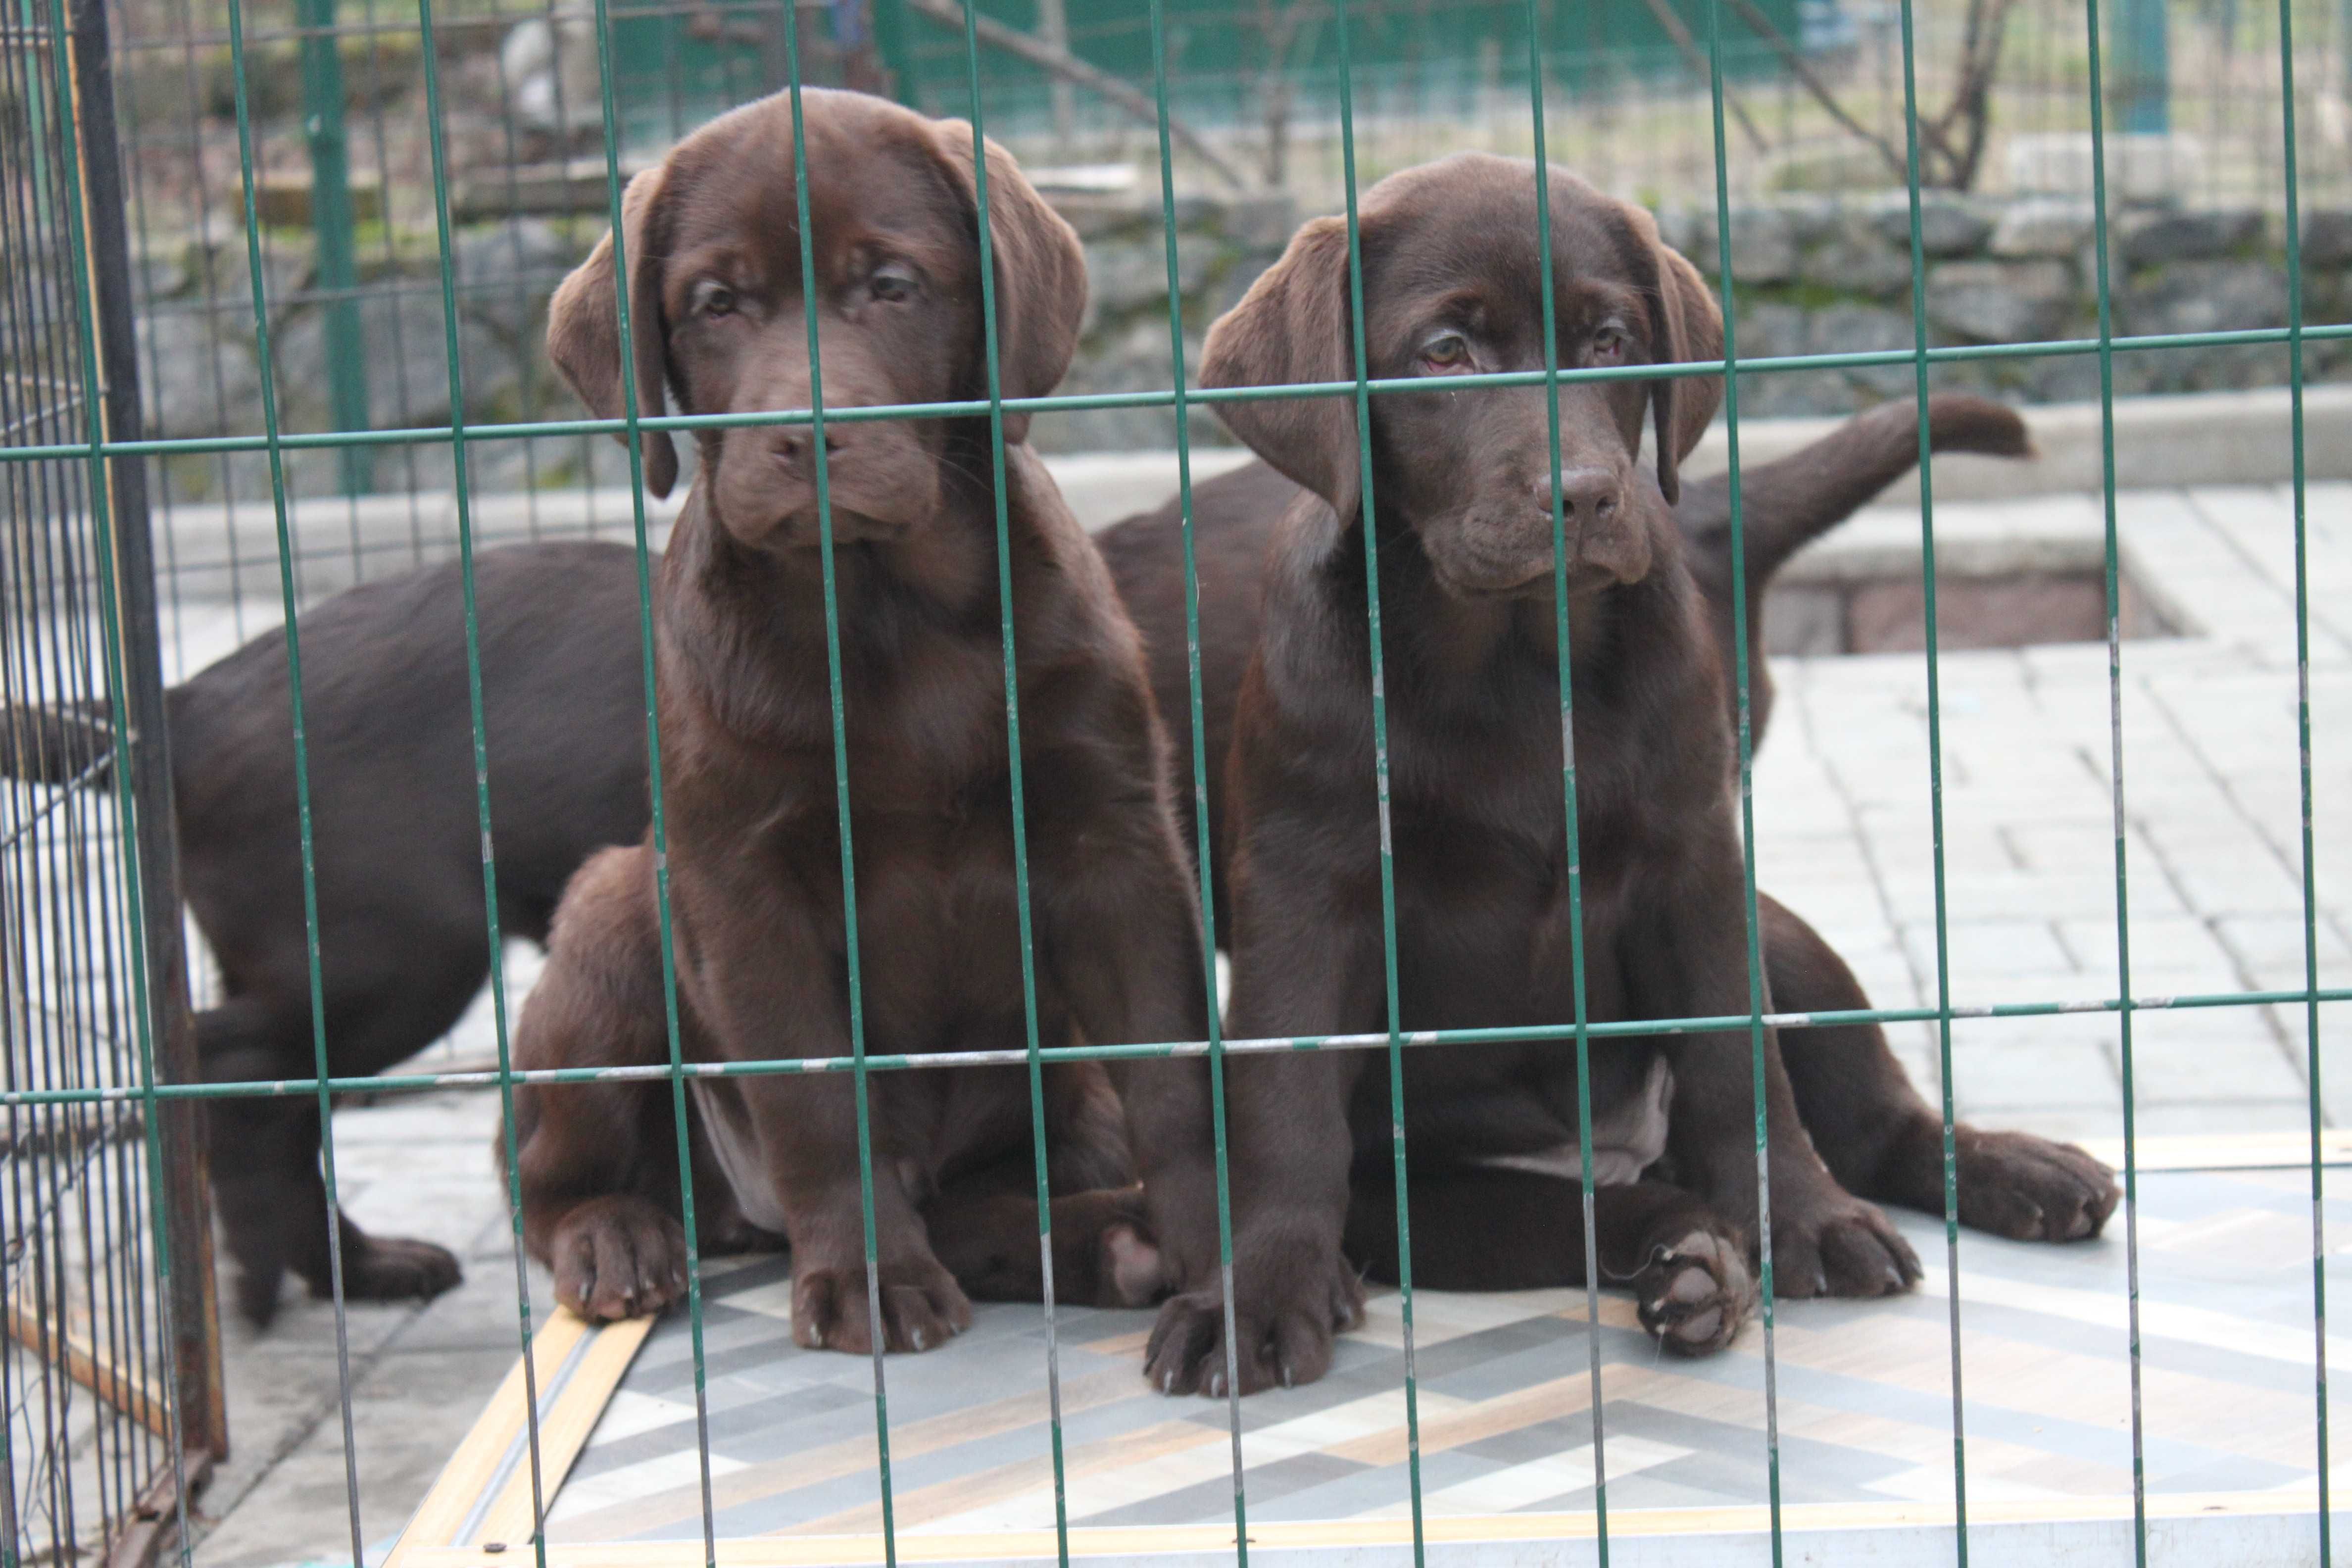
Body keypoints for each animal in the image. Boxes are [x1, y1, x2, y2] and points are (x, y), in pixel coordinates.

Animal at [515, 92, 1214, 1354]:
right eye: (716, 302)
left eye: (889, 284)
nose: (805, 431)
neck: (886, 608)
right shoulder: (745, 882)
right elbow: (817, 1106)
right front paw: (870, 1281)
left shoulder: (1115, 840)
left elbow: (1173, 1068)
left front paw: (1224, 1256)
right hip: (613, 913)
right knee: (551, 1183)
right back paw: (618, 1238)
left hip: (1060, 1098)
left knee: (989, 1196)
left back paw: (1111, 1239)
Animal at [1119, 152, 2116, 1391]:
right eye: (1444, 352)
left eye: (1608, 340)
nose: (1590, 493)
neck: (1512, 662)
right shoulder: (1308, 892)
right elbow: (1287, 1102)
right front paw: (1254, 1292)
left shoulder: (1698, 864)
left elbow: (1743, 1070)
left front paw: (1804, 1221)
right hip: (1430, 1203)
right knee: (1603, 1212)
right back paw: (1691, 1264)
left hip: (1779, 928)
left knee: (1873, 1120)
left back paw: (2009, 1172)